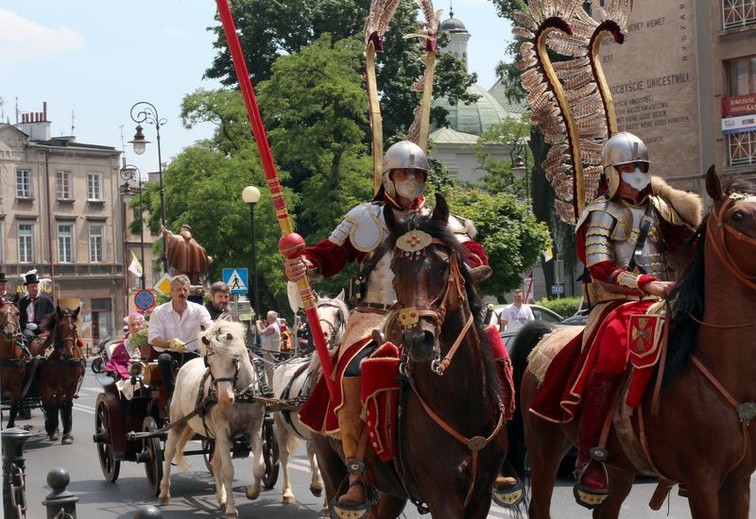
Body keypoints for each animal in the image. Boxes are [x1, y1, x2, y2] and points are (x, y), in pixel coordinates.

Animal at [30, 306, 86, 444]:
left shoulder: (71, 384)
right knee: (49, 404)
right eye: (59, 327)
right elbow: (51, 405)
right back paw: (51, 427)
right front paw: (52, 429)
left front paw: (67, 434)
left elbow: (67, 404)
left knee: (59, 402)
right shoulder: (47, 385)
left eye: (74, 327)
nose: (67, 353)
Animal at [158, 320, 268, 519]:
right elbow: (228, 471)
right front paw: (231, 509)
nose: (224, 398)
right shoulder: (224, 433)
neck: (241, 396)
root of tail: (185, 364)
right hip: (178, 423)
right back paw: (164, 492)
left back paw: (221, 498)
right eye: (209, 362)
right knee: (168, 452)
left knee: (215, 464)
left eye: (234, 359)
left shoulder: (255, 431)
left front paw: (251, 492)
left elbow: (259, 467)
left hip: (215, 436)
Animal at [274, 294, 350, 506]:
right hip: (279, 423)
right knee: (284, 455)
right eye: (315, 312)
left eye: (338, 315)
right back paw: (287, 492)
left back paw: (316, 485)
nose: (322, 335)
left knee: (309, 450)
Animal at [314, 196, 508, 519]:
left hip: (390, 493)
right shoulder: (443, 497)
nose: (419, 340)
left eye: (444, 265)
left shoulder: (481, 497)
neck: (460, 406)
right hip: (331, 471)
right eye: (395, 267)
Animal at [510, 169, 756, 516]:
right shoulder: (702, 480)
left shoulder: (738, 481)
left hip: (620, 465)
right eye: (738, 216)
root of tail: (549, 334)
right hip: (544, 446)